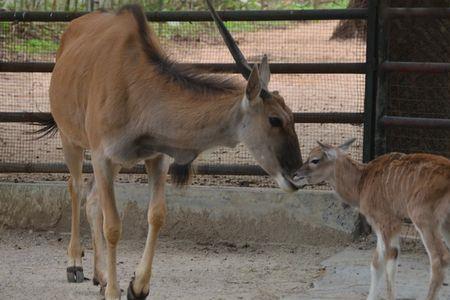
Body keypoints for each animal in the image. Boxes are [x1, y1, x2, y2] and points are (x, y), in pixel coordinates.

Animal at [35, 2, 302, 300]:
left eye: (292, 117)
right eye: (274, 119)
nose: (296, 174)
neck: (136, 89)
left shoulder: (155, 158)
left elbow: (157, 214)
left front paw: (136, 286)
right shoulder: (103, 156)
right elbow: (113, 225)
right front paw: (115, 291)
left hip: (114, 162)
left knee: (92, 199)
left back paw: (100, 276)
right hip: (72, 140)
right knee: (76, 188)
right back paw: (75, 264)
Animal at [296, 140, 450, 300]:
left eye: (315, 160)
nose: (295, 175)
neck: (362, 182)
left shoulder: (386, 221)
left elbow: (389, 258)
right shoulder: (383, 224)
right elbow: (376, 262)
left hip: (423, 219)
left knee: (440, 258)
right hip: (445, 223)